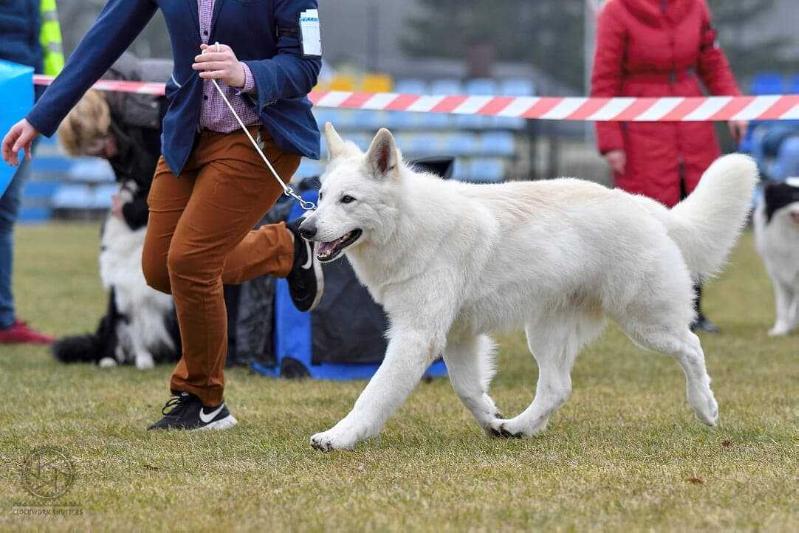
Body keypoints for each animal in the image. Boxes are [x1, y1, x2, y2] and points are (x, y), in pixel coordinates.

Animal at [53, 185, 180, 368]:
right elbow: (137, 335)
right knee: (106, 345)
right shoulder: (126, 299)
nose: (125, 186)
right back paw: (110, 360)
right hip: (107, 320)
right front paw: (144, 361)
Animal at [304, 123, 760, 448]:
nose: (305, 228)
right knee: (557, 387)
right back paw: (521, 427)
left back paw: (705, 407)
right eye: (321, 196)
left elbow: (374, 394)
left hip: (645, 322)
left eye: (348, 200)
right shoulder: (457, 336)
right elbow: (468, 389)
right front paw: (492, 419)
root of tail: (643, 205)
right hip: (546, 332)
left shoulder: (417, 336)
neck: (409, 222)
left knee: (692, 347)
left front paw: (338, 437)